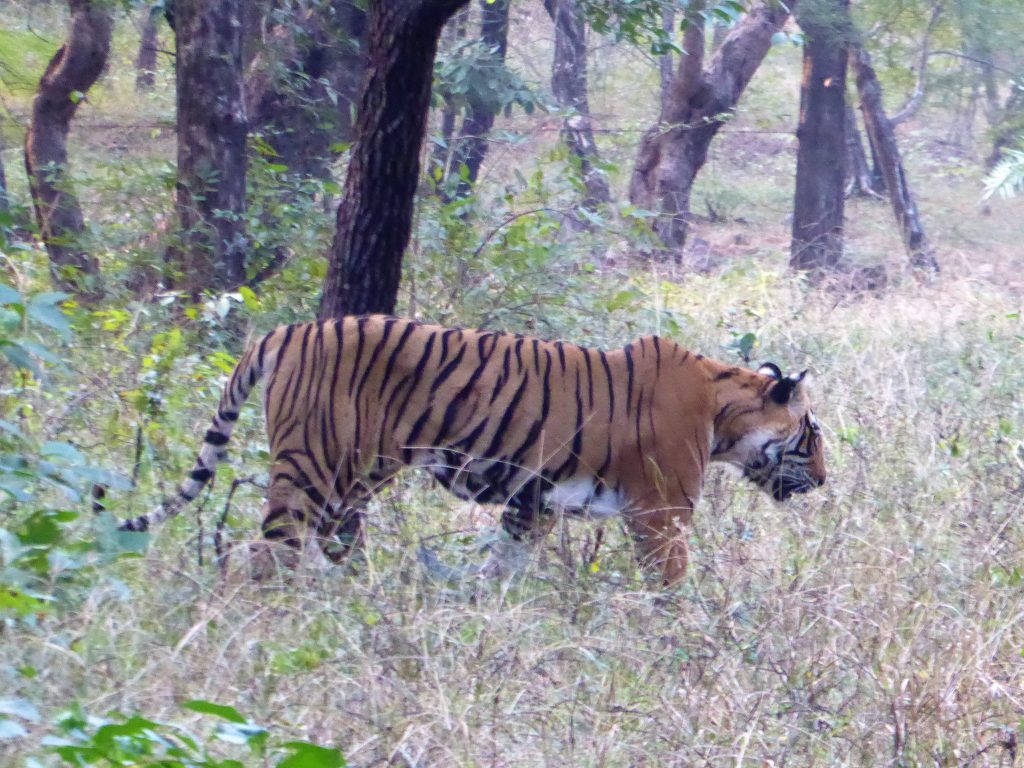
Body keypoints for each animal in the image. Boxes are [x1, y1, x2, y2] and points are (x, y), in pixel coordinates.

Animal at [117, 315, 823, 585]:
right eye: (812, 435)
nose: (824, 479)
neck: (723, 407)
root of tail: (286, 330)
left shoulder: (531, 503)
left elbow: (503, 566)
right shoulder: (662, 512)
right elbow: (671, 582)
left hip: (350, 479)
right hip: (313, 466)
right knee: (267, 551)